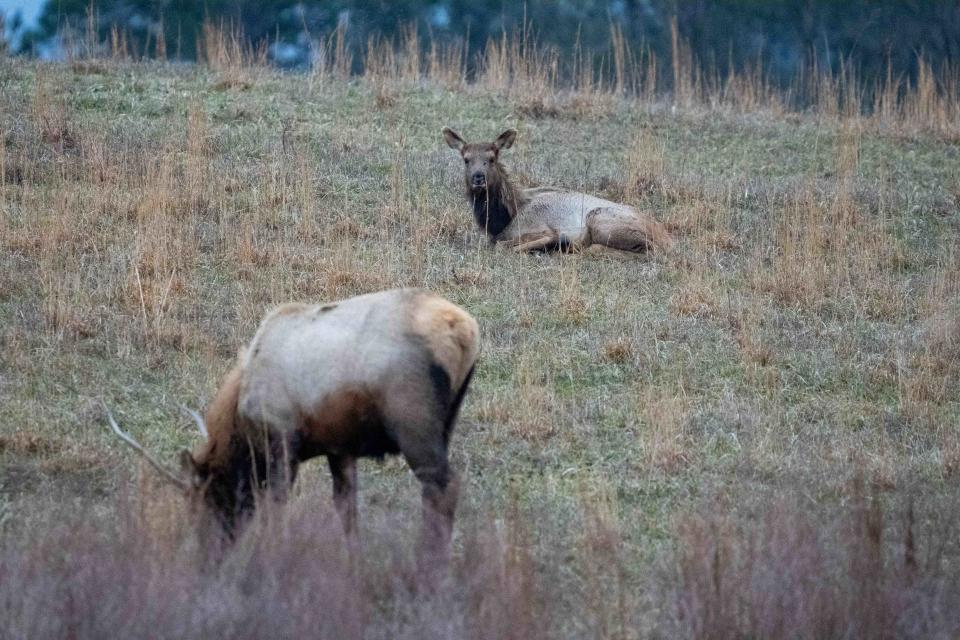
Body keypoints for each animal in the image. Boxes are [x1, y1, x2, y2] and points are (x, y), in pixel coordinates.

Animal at [106, 288, 480, 556]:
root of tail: (465, 330)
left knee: (443, 487)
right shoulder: (340, 447)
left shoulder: (282, 442)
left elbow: (275, 507)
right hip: (446, 422)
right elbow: (346, 510)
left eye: (206, 500)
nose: (207, 558)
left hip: (414, 424)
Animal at [444, 126, 676, 254]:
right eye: (466, 160)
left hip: (599, 219)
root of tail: (668, 239)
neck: (502, 219)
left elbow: (503, 246)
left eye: (491, 158)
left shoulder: (538, 228)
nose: (478, 177)